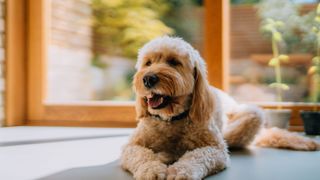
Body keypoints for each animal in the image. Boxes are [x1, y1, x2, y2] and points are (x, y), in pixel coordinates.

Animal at [120, 35, 320, 179]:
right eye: (148, 63)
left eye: (174, 62)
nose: (148, 79)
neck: (172, 119)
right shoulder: (131, 146)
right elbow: (142, 155)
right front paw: (151, 169)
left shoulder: (216, 149)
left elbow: (197, 156)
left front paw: (181, 170)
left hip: (249, 118)